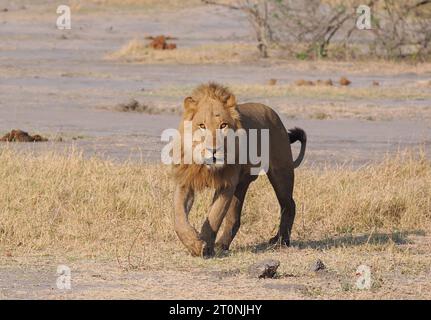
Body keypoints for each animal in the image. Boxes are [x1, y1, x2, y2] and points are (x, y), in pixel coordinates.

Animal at [172, 83, 308, 258]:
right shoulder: (185, 182)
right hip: (241, 185)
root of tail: (273, 113)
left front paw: (204, 246)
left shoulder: (227, 185)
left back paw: (281, 241)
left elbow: (214, 216)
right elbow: (179, 218)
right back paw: (224, 244)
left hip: (281, 173)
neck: (206, 168)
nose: (213, 150)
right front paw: (194, 244)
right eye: (202, 126)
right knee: (234, 218)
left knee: (289, 205)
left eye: (223, 125)